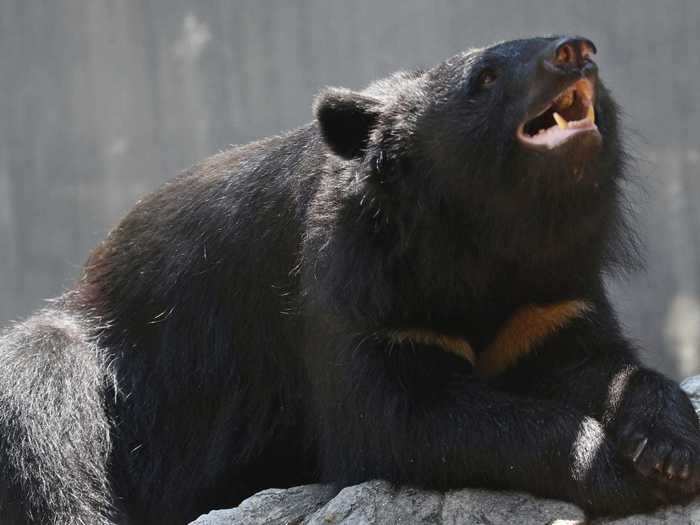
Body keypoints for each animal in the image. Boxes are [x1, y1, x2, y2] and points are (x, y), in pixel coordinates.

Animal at [1, 34, 700, 520]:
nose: (576, 51)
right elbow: (400, 419)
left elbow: (596, 362)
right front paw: (615, 470)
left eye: (582, 59)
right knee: (45, 431)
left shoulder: (551, 296)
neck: (489, 242)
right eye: (485, 77)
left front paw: (668, 449)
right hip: (87, 365)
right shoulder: (360, 296)